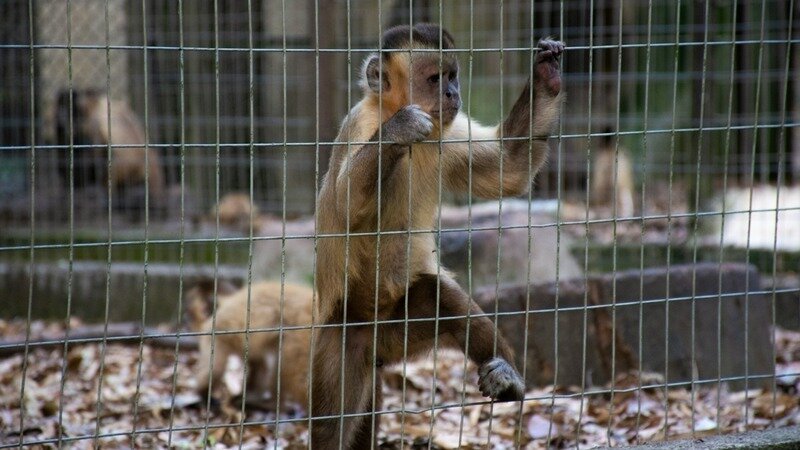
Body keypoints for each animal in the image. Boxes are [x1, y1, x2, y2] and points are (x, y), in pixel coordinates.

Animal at [312, 23, 564, 449]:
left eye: (452, 76)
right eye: (435, 79)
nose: (452, 93)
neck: (386, 109)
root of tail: (375, 341)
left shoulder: (449, 132)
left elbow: (508, 169)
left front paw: (546, 75)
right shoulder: (360, 123)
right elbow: (342, 207)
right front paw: (396, 132)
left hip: (398, 332)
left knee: (442, 298)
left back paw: (506, 378)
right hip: (342, 336)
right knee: (332, 424)